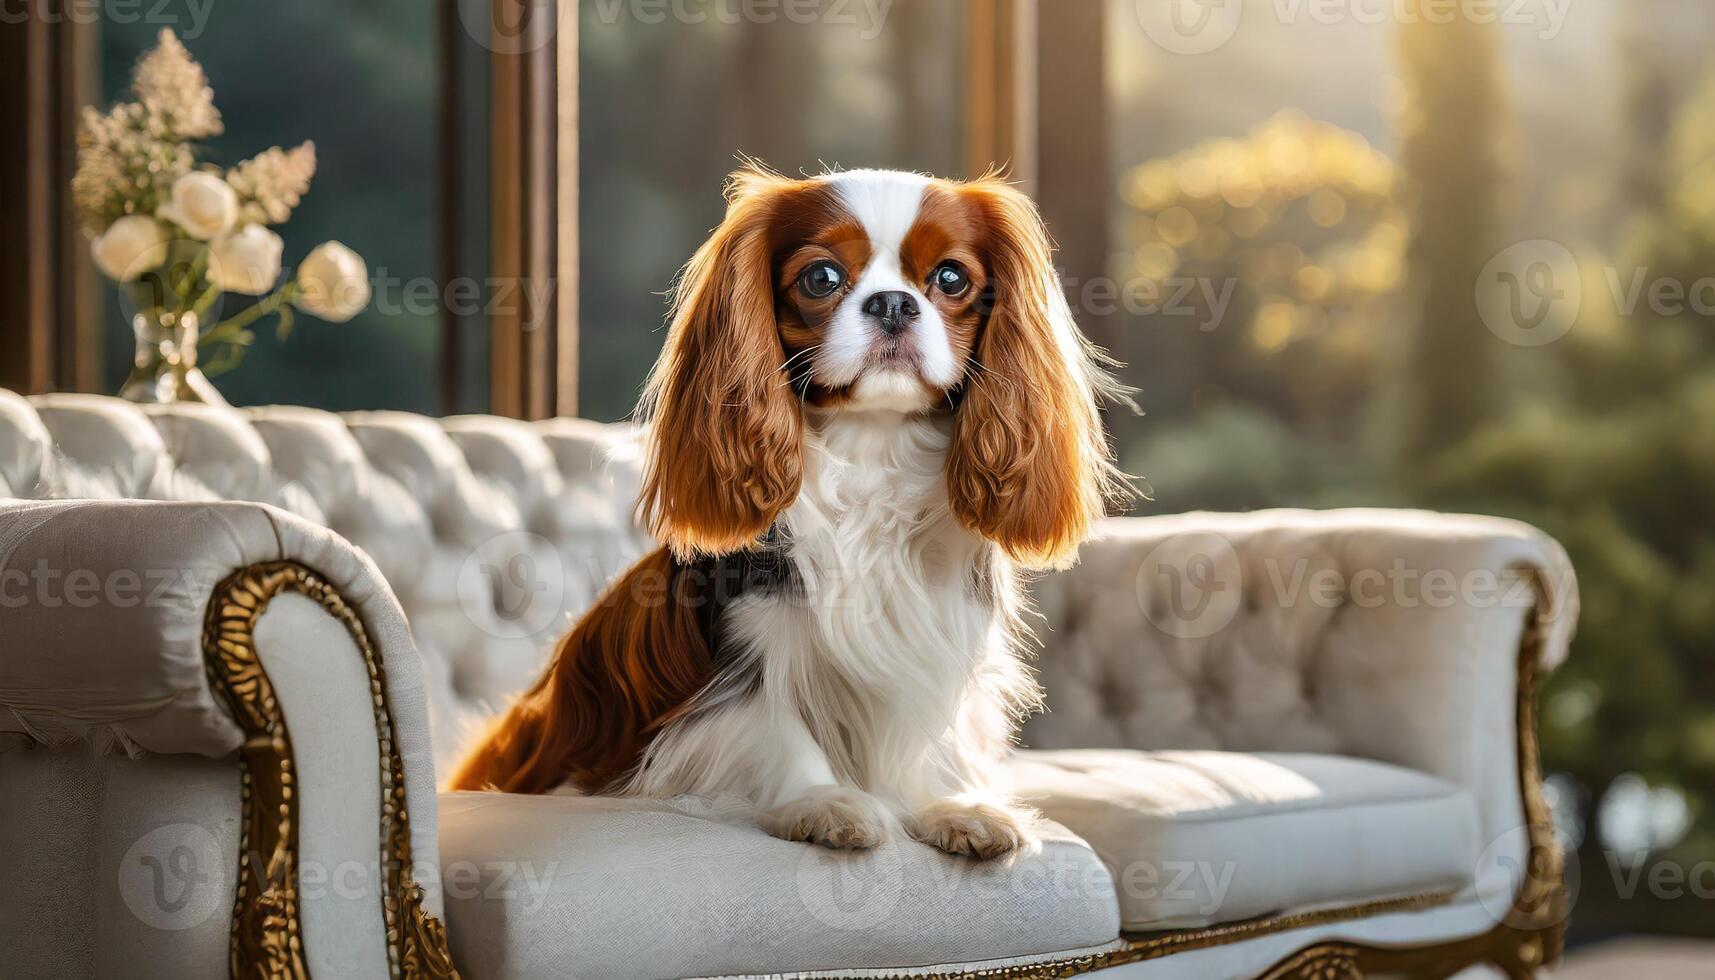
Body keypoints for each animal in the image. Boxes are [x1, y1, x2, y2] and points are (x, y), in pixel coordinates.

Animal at [449, 166, 1125, 858]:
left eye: (952, 278)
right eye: (821, 278)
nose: (893, 303)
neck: (873, 447)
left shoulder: (935, 641)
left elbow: (933, 735)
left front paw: (952, 805)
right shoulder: (749, 652)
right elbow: (774, 724)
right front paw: (822, 801)